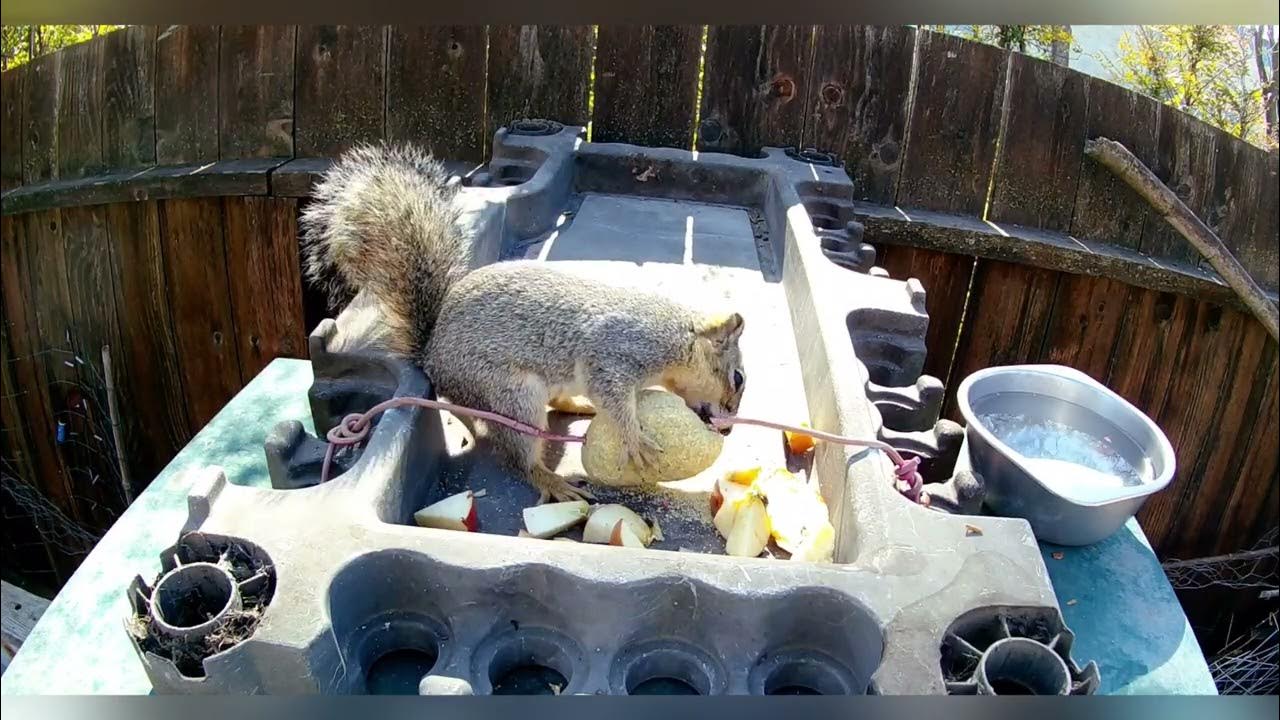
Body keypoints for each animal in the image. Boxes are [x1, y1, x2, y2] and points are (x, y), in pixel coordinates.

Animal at [300, 143, 748, 504]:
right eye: (738, 378)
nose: (727, 429)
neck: (675, 337)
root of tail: (432, 357)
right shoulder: (615, 353)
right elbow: (613, 395)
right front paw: (633, 437)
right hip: (511, 394)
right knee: (518, 454)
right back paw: (551, 480)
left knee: (557, 403)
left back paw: (579, 407)